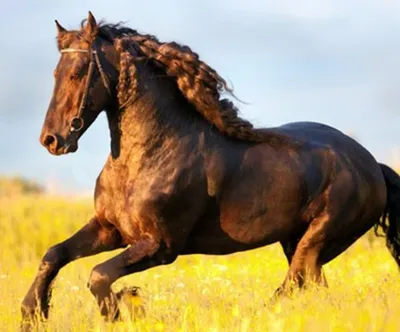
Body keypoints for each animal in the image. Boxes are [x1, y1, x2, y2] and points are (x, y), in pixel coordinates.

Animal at [21, 11, 400, 330]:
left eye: (78, 73)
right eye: (55, 74)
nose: (52, 140)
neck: (148, 156)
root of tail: (373, 166)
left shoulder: (160, 246)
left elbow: (99, 276)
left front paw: (126, 307)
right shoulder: (110, 229)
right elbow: (54, 255)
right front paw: (32, 314)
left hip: (318, 239)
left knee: (294, 283)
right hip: (297, 242)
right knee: (312, 287)